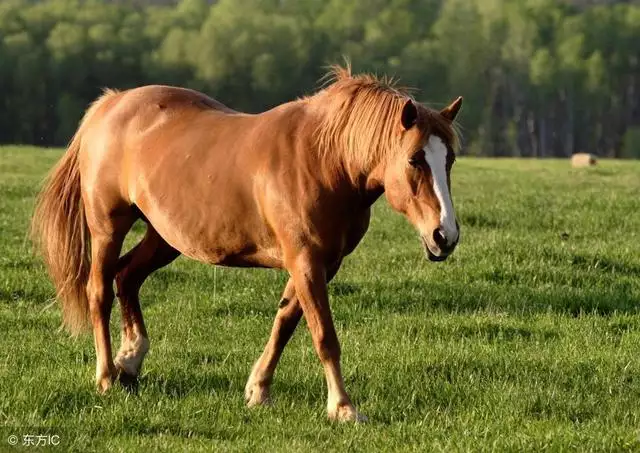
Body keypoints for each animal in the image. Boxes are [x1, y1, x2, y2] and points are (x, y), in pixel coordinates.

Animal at [31, 66, 460, 420]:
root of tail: (111, 103)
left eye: (450, 159)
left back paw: (131, 361)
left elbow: (285, 323)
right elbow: (324, 335)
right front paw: (342, 407)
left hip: (164, 237)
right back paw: (106, 376)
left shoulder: (320, 263)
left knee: (128, 278)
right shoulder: (305, 260)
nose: (445, 235)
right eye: (414, 159)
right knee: (100, 291)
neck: (324, 160)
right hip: (108, 227)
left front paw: (258, 390)